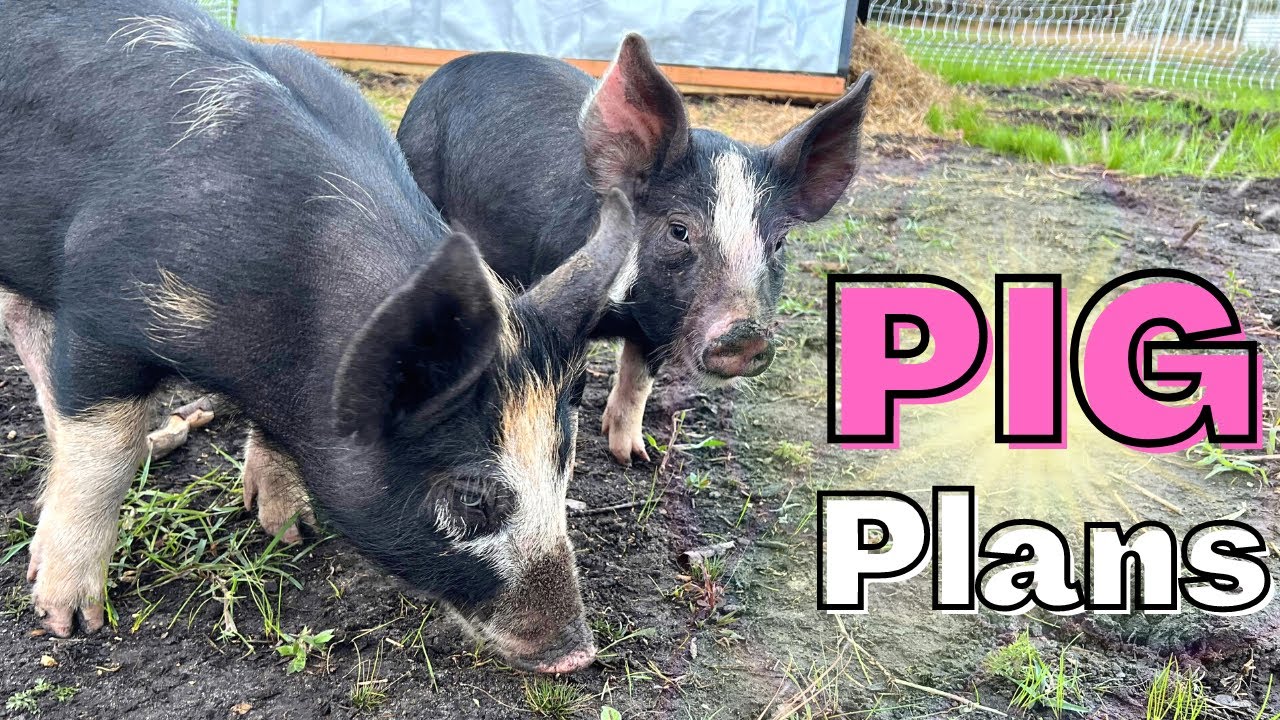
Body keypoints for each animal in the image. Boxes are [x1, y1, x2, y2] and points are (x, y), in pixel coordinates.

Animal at [0, 0, 638, 674]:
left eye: (564, 466)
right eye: (472, 496)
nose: (578, 654)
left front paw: (289, 529)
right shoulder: (105, 309)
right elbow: (104, 454)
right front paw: (68, 622)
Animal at [397, 35, 873, 465]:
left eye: (778, 242)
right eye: (679, 230)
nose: (745, 333)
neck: (629, 314)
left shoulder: (654, 332)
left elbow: (638, 381)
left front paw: (634, 457)